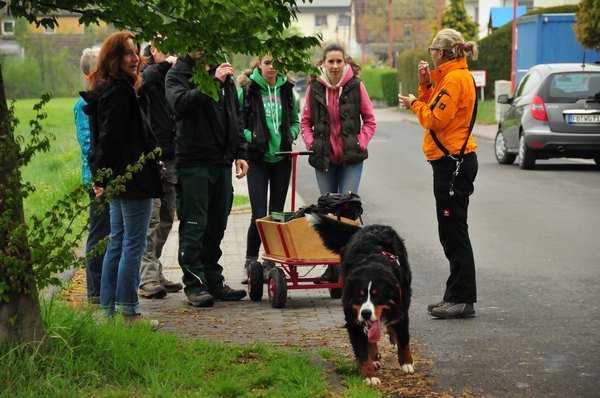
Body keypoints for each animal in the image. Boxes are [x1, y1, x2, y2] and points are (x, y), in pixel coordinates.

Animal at [308, 215, 414, 386]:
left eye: (378, 296)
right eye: (360, 295)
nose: (365, 313)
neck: (372, 265)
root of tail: (367, 227)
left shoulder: (402, 310)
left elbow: (404, 340)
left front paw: (406, 363)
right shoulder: (353, 319)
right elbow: (363, 352)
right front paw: (369, 375)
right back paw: (375, 358)